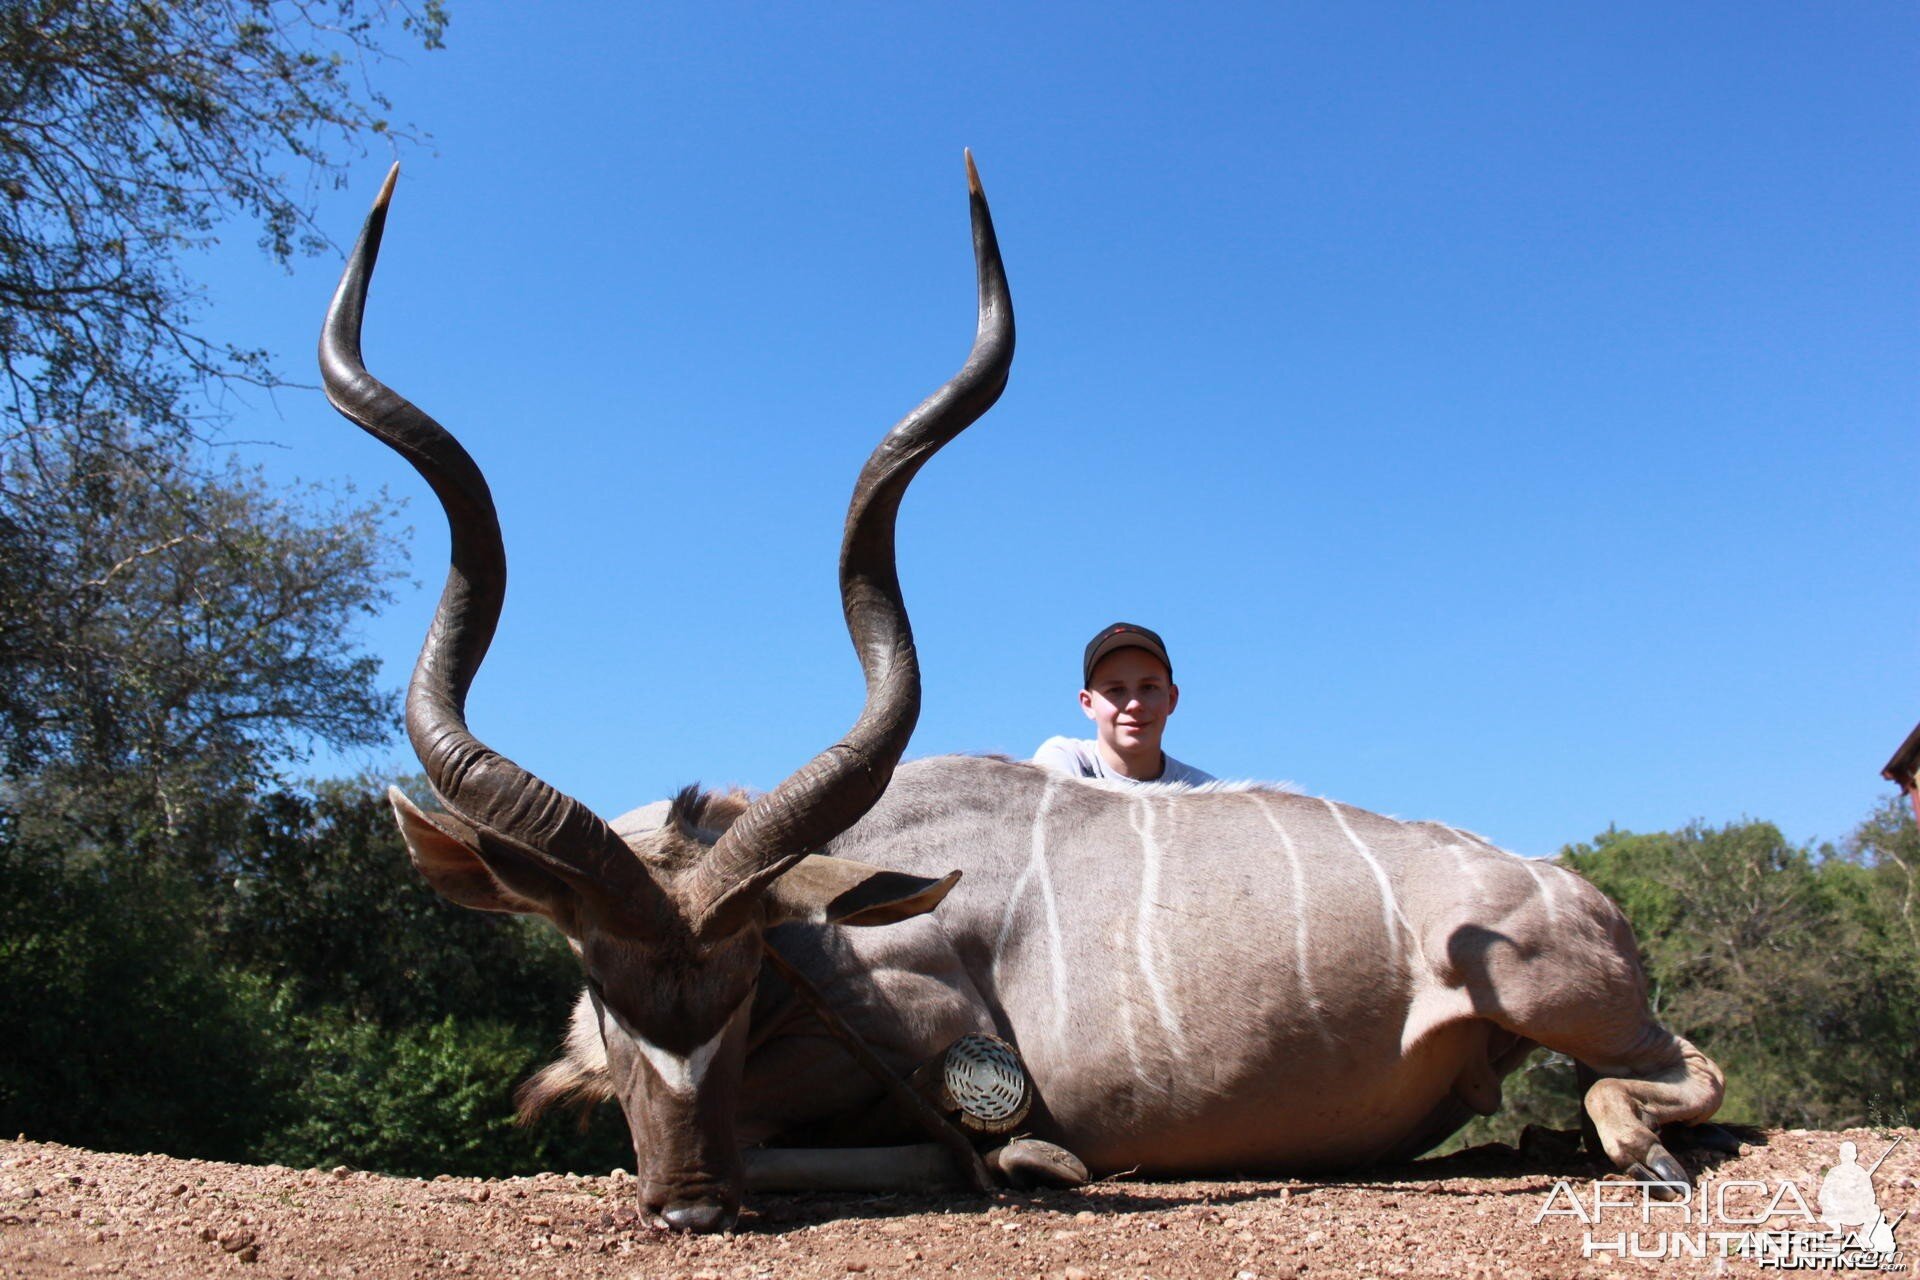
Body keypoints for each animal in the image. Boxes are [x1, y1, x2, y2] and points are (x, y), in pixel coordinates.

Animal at [318, 155, 1728, 1235]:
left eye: (741, 979)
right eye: (605, 987)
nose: (690, 1204)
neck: (830, 939)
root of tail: (1581, 892)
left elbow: (910, 1142)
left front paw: (1032, 1153)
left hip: (1562, 994)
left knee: (1679, 1077)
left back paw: (1633, 1144)